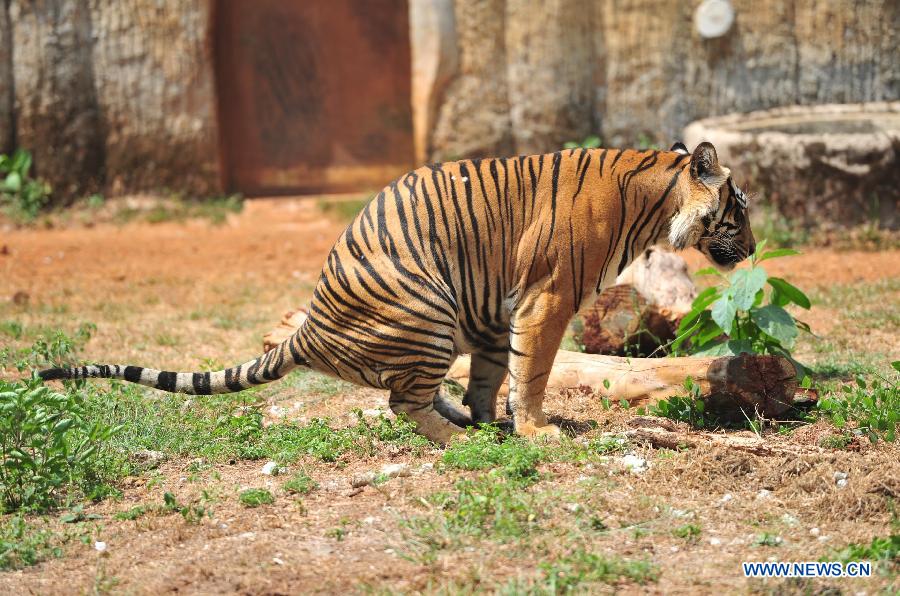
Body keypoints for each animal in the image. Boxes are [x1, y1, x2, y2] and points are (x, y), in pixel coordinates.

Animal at [44, 142, 760, 444]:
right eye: (741, 208)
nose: (755, 249)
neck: (654, 202)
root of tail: (309, 325)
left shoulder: (502, 311)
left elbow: (492, 376)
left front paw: (496, 419)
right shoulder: (547, 299)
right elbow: (533, 372)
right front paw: (533, 430)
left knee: (414, 392)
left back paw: (467, 425)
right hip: (428, 309)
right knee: (399, 401)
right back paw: (459, 441)